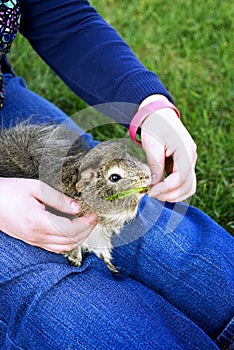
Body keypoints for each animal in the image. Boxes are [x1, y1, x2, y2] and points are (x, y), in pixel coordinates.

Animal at [0, 121, 151, 272]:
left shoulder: (100, 235)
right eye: (115, 177)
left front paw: (113, 267)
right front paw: (76, 261)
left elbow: (103, 252)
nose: (147, 175)